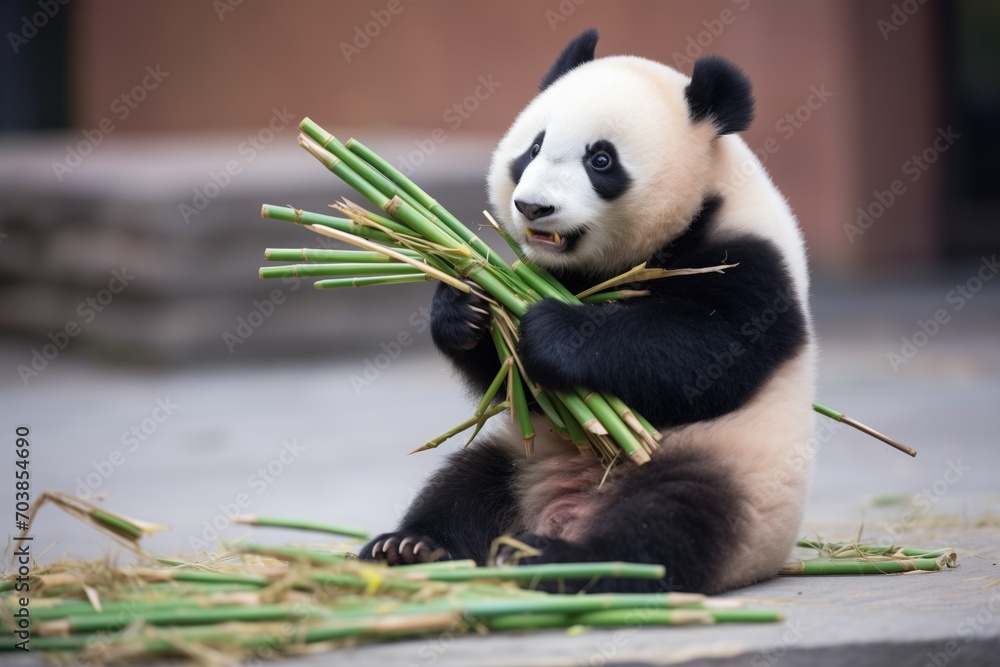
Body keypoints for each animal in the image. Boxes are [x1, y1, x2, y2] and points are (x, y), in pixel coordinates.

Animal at [360, 29, 816, 595]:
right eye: (533, 147)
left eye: (600, 161)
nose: (533, 207)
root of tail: (564, 507)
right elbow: (515, 386)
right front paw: (466, 306)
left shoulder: (750, 264)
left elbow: (701, 355)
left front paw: (553, 331)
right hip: (521, 456)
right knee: (463, 488)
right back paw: (410, 547)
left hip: (727, 469)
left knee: (666, 524)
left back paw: (558, 561)